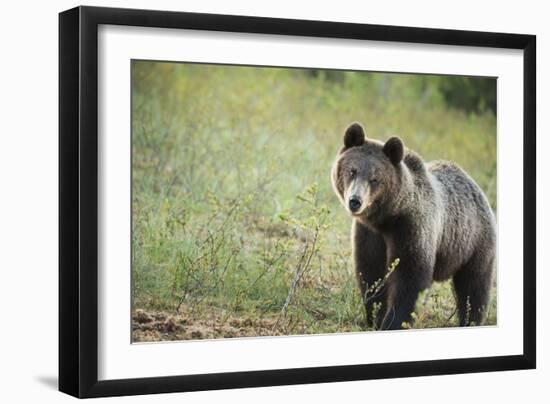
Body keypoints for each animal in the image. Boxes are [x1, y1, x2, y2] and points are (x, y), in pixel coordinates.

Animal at [332, 124, 500, 332]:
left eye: (375, 178)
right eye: (352, 171)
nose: (355, 201)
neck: (387, 218)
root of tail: (476, 187)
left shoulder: (411, 228)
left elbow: (410, 277)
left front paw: (393, 322)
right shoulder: (369, 234)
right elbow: (372, 272)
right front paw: (375, 316)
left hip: (474, 242)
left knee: (474, 286)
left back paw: (470, 320)